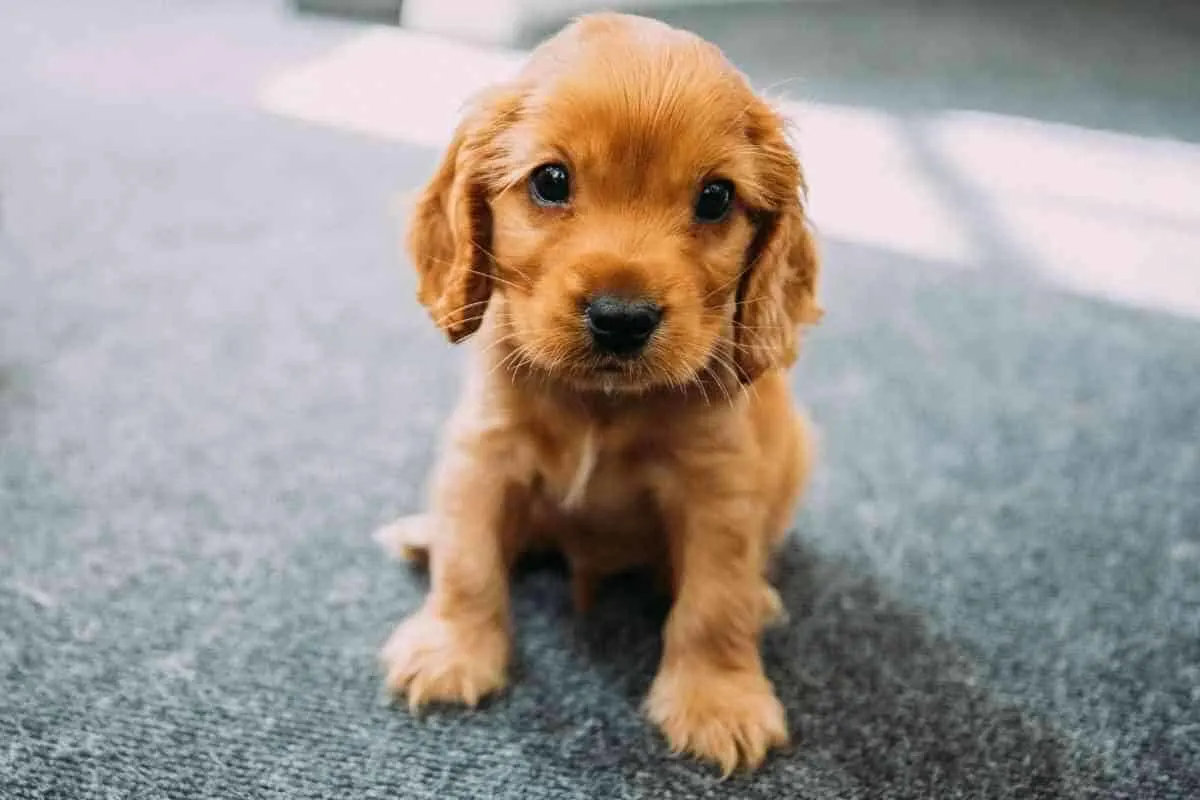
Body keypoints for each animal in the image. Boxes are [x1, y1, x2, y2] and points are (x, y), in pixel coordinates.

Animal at [376, 12, 825, 777]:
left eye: (715, 197)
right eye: (551, 181)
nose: (622, 318)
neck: (600, 402)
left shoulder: (719, 488)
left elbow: (714, 604)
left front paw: (719, 700)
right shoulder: (483, 454)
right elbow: (468, 562)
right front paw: (451, 649)